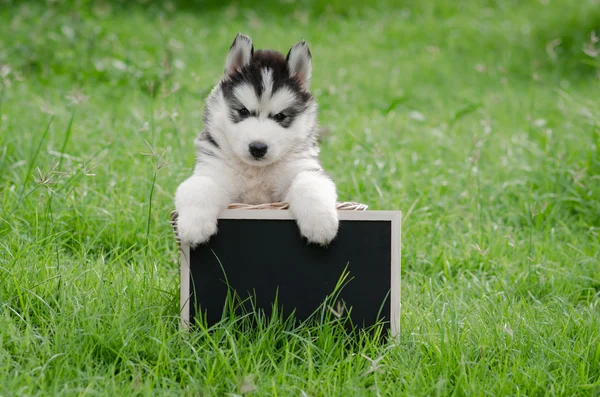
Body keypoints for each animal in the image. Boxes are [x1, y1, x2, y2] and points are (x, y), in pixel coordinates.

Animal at [176, 33, 340, 244]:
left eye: (280, 116)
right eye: (243, 111)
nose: (258, 147)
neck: (256, 172)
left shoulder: (304, 168)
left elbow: (309, 183)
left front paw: (320, 223)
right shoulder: (212, 171)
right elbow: (199, 186)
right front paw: (194, 226)